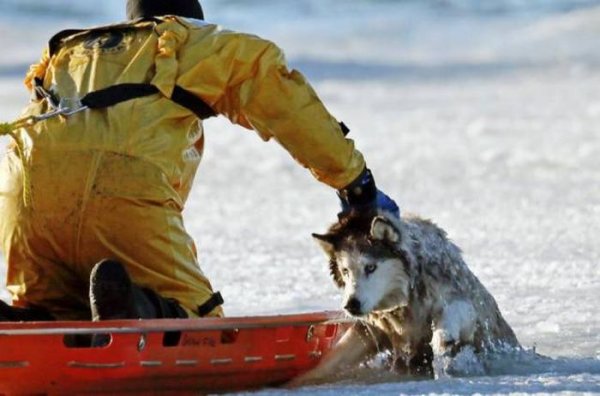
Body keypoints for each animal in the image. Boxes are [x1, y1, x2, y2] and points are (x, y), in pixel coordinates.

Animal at [298, 212, 516, 386]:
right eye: (345, 271)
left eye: (370, 267)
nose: (351, 305)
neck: (406, 302)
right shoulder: (373, 330)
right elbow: (331, 361)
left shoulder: (464, 303)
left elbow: (452, 315)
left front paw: (442, 341)